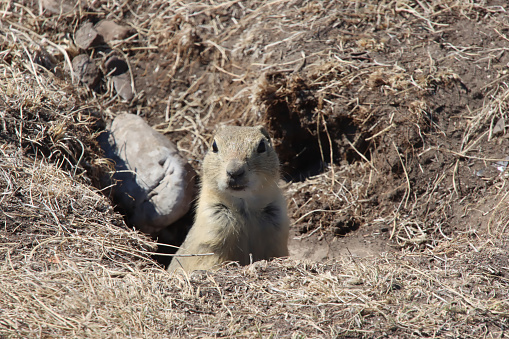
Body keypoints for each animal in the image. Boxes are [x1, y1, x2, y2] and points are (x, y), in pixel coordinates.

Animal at [169, 126, 290, 272]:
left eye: (262, 146)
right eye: (214, 146)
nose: (234, 172)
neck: (245, 209)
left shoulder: (277, 229)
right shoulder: (212, 229)